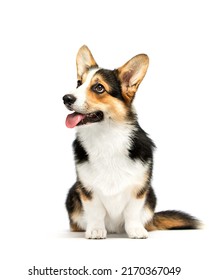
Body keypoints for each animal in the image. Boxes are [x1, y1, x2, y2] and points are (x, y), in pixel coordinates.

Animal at [62, 46, 201, 238]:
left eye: (99, 87)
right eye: (78, 83)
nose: (66, 98)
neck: (106, 136)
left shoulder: (139, 189)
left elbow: (132, 211)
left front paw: (135, 230)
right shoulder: (87, 189)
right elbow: (96, 211)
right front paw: (96, 230)